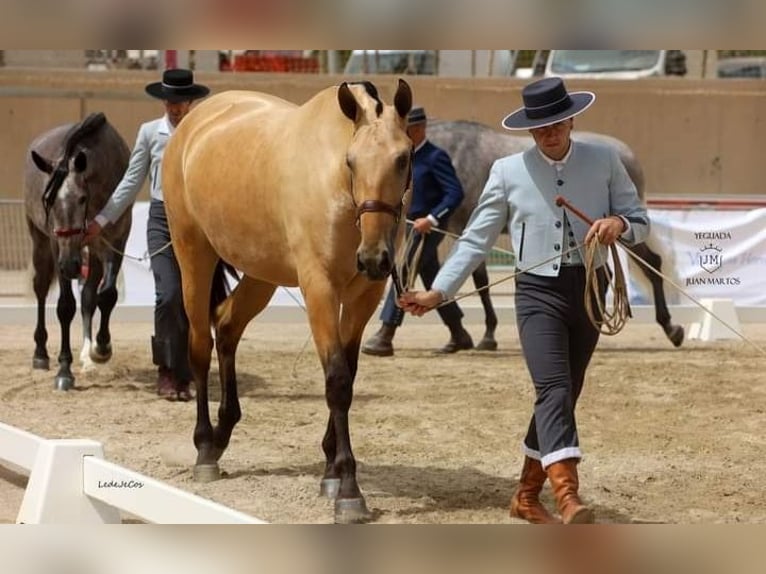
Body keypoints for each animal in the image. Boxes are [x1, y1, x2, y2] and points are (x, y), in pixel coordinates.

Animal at [25, 112, 132, 392]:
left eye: (82, 198)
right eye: (48, 200)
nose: (70, 267)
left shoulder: (115, 241)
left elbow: (107, 295)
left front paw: (101, 348)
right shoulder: (58, 246)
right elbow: (65, 306)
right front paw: (64, 371)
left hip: (89, 252)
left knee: (88, 296)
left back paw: (88, 355)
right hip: (41, 243)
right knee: (41, 288)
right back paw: (40, 353)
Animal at [162, 79, 414, 524]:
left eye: (403, 159)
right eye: (351, 162)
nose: (373, 257)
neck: (336, 187)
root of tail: (193, 123)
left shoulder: (365, 295)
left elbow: (348, 373)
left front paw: (330, 471)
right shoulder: (319, 289)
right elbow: (337, 380)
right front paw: (348, 488)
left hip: (261, 273)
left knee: (226, 326)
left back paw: (224, 432)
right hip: (193, 253)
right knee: (200, 346)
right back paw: (205, 448)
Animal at [428, 120, 688, 352]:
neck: (456, 151)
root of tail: (626, 152)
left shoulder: (460, 225)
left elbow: (480, 282)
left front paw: (488, 336)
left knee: (652, 264)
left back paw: (671, 328)